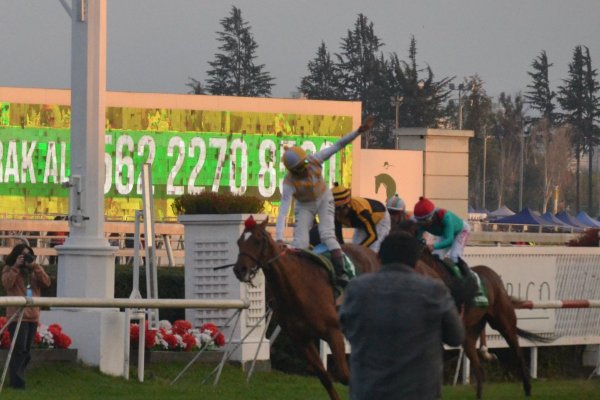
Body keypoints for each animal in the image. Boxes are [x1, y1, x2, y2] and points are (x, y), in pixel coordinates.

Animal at [231, 216, 378, 400]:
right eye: (239, 242)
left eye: (257, 241)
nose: (239, 269)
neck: (298, 288)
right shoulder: (301, 339)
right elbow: (325, 377)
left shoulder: (333, 332)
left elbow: (345, 376)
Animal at [396, 220, 552, 398]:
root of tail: (494, 276)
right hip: (470, 333)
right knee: (480, 369)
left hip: (504, 322)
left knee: (517, 352)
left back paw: (527, 387)